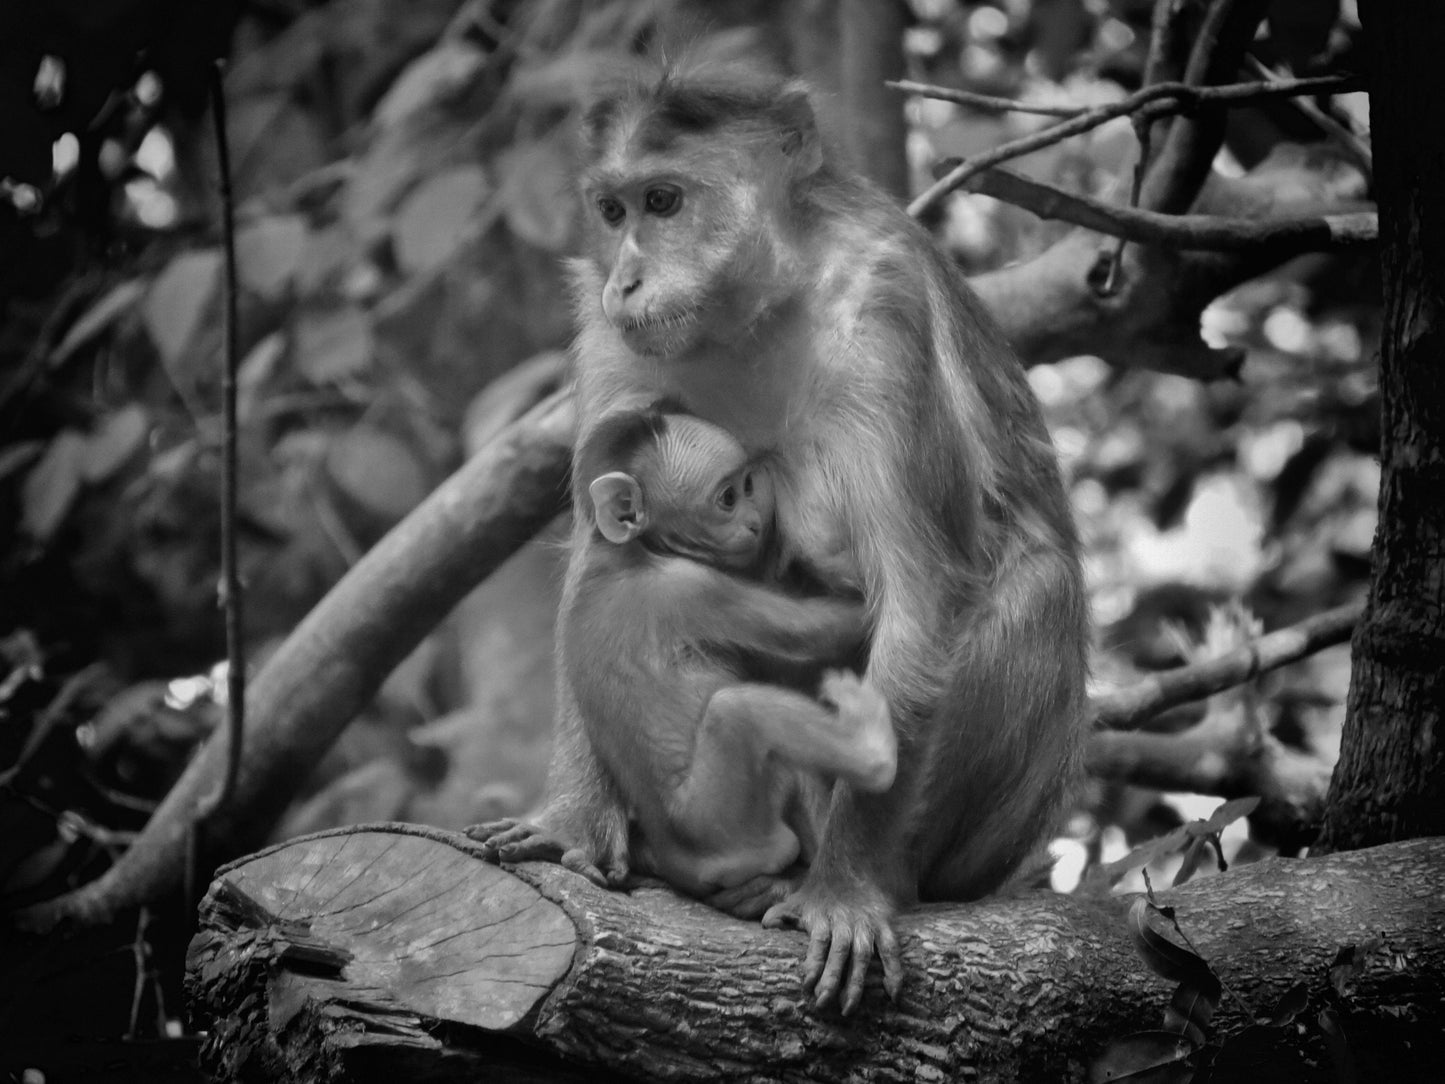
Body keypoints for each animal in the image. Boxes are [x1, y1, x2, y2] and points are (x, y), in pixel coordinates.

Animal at [549, 402, 895, 904]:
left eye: (748, 486)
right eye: (728, 498)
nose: (755, 522)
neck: (621, 551)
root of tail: (689, 866)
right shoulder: (694, 589)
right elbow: (827, 628)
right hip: (727, 825)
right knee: (740, 710)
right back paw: (872, 752)